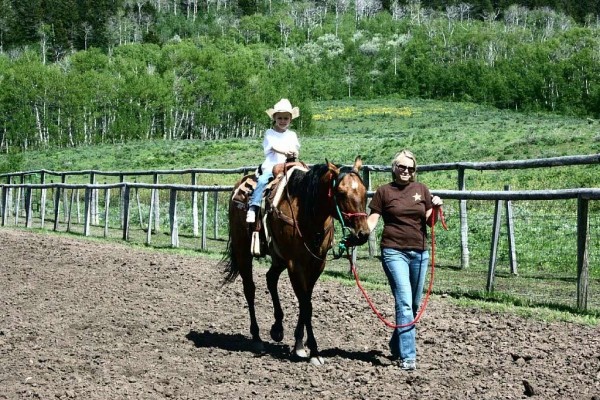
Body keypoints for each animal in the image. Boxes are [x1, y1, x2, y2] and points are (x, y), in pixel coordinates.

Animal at [221, 156, 370, 366]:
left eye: (364, 191)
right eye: (341, 193)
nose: (363, 234)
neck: (308, 213)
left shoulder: (317, 264)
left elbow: (305, 300)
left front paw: (299, 345)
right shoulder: (295, 264)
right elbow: (306, 304)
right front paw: (314, 351)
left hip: (279, 258)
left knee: (271, 278)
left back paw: (277, 329)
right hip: (243, 251)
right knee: (249, 289)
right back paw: (257, 338)